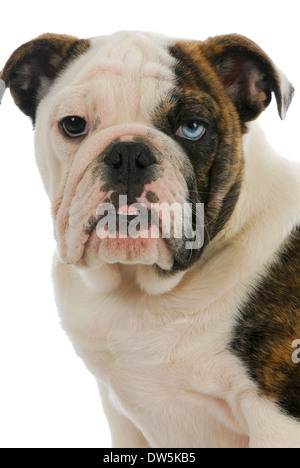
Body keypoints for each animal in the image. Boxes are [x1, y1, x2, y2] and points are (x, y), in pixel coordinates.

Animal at [1, 31, 298, 448]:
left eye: (193, 128)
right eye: (73, 125)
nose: (128, 153)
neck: (139, 289)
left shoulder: (277, 417)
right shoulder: (121, 413)